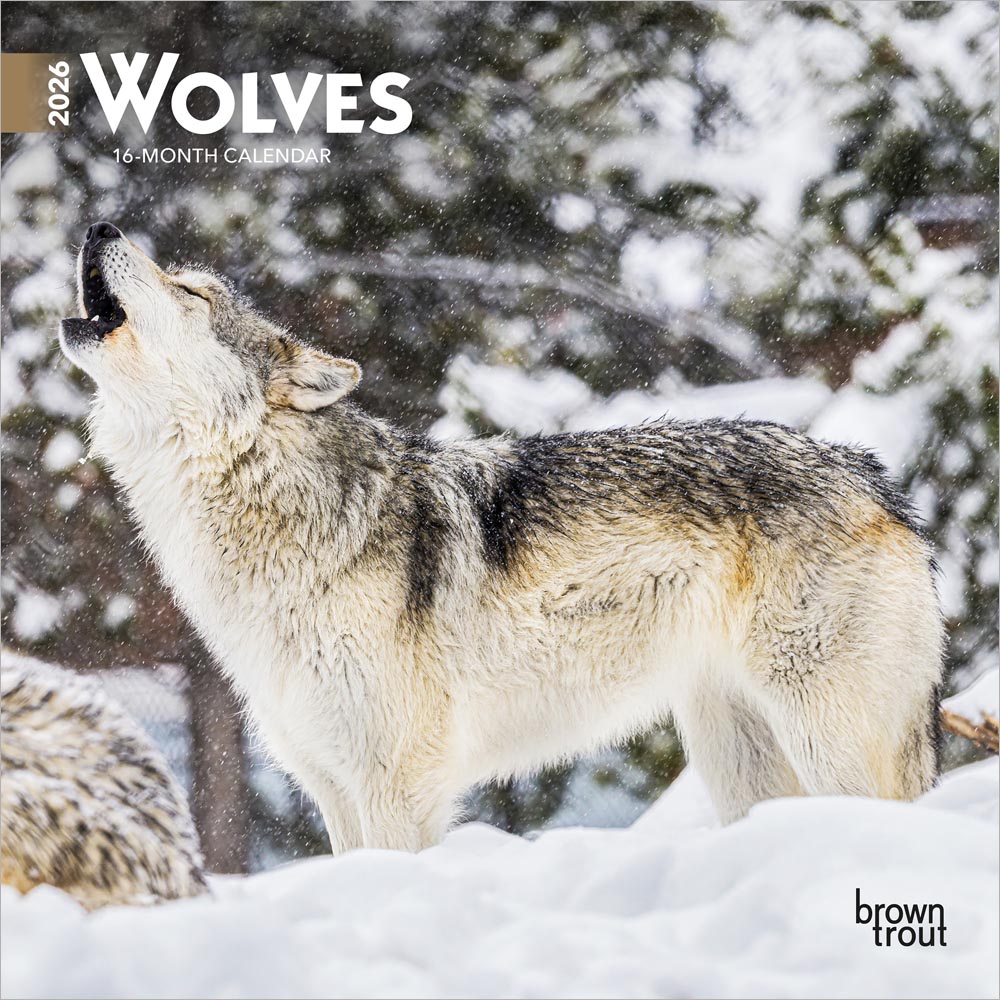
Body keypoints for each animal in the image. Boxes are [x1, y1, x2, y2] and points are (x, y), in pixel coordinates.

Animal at [59, 222, 945, 852]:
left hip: (827, 742)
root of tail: (871, 474)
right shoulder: (332, 786)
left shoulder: (395, 785)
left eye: (192, 292)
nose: (101, 224)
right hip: (739, 759)